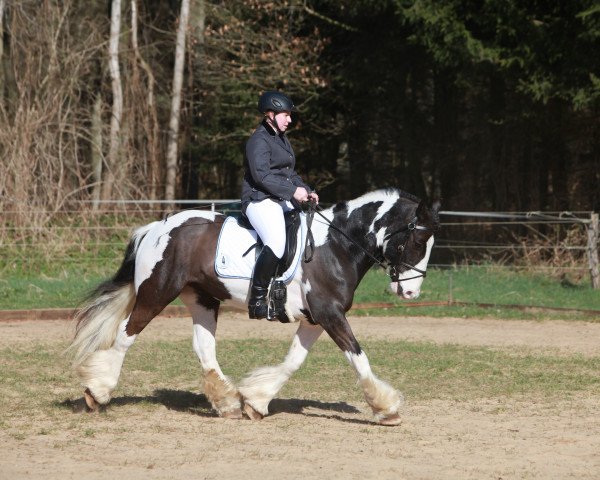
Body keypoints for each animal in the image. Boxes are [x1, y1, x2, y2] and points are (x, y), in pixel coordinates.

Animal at [70, 189, 440, 426]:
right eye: (417, 240)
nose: (410, 292)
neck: (335, 246)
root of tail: (157, 228)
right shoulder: (330, 314)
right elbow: (359, 358)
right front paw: (387, 409)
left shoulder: (315, 319)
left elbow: (293, 362)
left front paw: (257, 402)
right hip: (156, 292)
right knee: (125, 335)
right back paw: (97, 392)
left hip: (202, 299)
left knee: (204, 349)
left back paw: (228, 404)